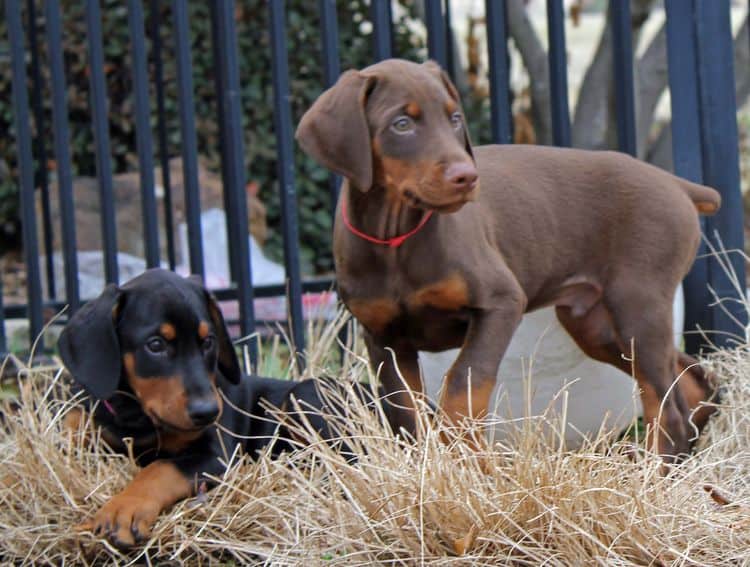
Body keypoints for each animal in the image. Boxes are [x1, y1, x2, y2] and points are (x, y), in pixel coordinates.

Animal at [58, 268, 370, 548]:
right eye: (155, 345)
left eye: (208, 341)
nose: (208, 412)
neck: (134, 417)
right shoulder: (74, 429)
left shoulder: (216, 455)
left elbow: (161, 468)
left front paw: (124, 508)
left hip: (304, 395)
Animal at [298, 57, 724, 460]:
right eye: (401, 124)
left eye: (454, 118)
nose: (467, 177)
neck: (395, 240)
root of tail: (674, 182)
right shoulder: (383, 338)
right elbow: (405, 412)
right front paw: (426, 468)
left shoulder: (500, 302)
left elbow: (465, 380)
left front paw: (463, 453)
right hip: (597, 324)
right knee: (689, 382)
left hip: (637, 305)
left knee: (666, 406)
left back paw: (655, 470)